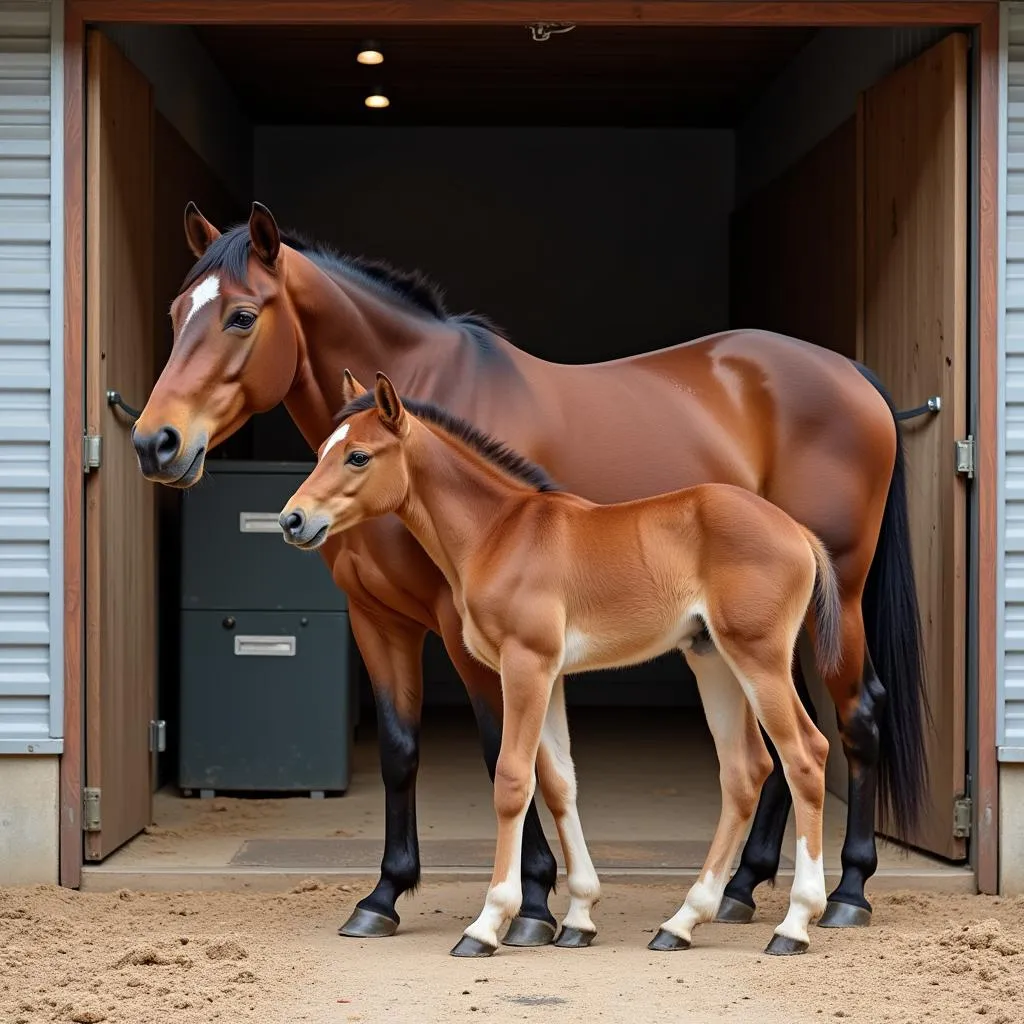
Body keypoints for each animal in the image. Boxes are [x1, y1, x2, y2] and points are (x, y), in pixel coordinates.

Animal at [282, 374, 839, 958]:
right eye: (321, 452)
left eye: (359, 456)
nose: (292, 519)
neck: (498, 533)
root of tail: (798, 531)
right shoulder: (550, 677)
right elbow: (557, 783)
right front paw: (577, 917)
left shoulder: (525, 665)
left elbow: (512, 780)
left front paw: (488, 923)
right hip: (712, 659)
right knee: (745, 770)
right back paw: (681, 922)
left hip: (759, 657)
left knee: (805, 755)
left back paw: (794, 924)